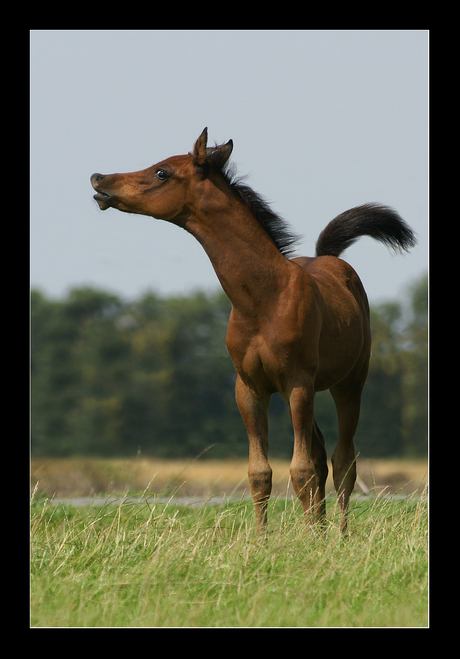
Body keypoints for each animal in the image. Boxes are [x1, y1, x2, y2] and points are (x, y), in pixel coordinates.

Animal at [91, 129, 416, 536]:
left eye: (162, 172)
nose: (99, 179)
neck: (264, 299)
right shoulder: (249, 388)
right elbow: (260, 472)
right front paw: (263, 540)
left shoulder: (296, 382)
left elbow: (300, 469)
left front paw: (306, 540)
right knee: (322, 454)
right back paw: (323, 529)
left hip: (349, 382)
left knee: (343, 460)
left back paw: (339, 535)